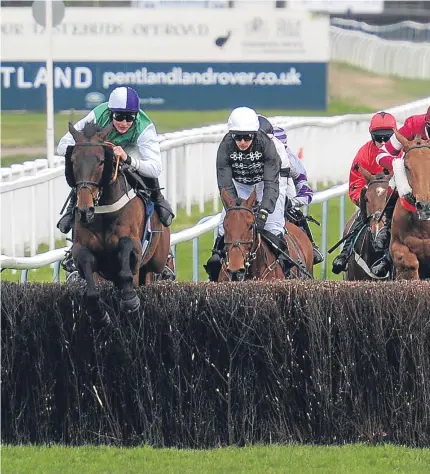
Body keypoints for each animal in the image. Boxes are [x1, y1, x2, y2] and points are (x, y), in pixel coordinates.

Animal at [65, 122, 171, 322]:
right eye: (73, 160)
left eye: (101, 161)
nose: (85, 210)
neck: (104, 212)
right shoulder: (81, 248)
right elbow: (88, 274)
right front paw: (99, 314)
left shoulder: (134, 245)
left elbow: (126, 253)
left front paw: (130, 300)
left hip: (158, 258)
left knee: (151, 272)